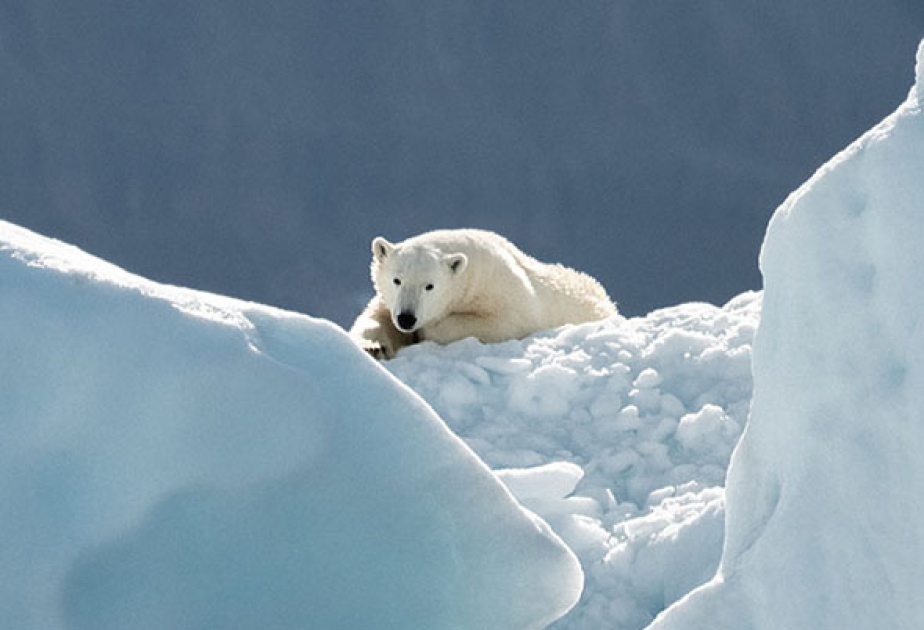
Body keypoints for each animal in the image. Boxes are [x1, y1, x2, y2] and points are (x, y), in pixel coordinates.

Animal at [350, 231, 616, 360]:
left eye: (430, 286)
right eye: (397, 280)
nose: (407, 318)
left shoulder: (500, 289)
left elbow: (504, 322)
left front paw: (426, 331)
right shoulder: (389, 301)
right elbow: (375, 318)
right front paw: (373, 348)